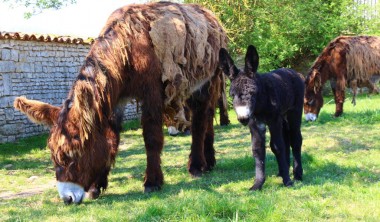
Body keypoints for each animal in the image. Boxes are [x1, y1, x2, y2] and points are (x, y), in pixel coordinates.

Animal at [218, 45, 304, 191]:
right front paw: (258, 184)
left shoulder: (274, 120)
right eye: (232, 95)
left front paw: (287, 181)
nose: (243, 118)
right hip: (283, 117)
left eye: (253, 93)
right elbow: (257, 149)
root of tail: (291, 70)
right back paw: (282, 171)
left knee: (295, 140)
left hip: (294, 113)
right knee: (286, 139)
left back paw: (297, 175)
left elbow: (277, 146)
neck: (260, 105)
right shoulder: (255, 124)